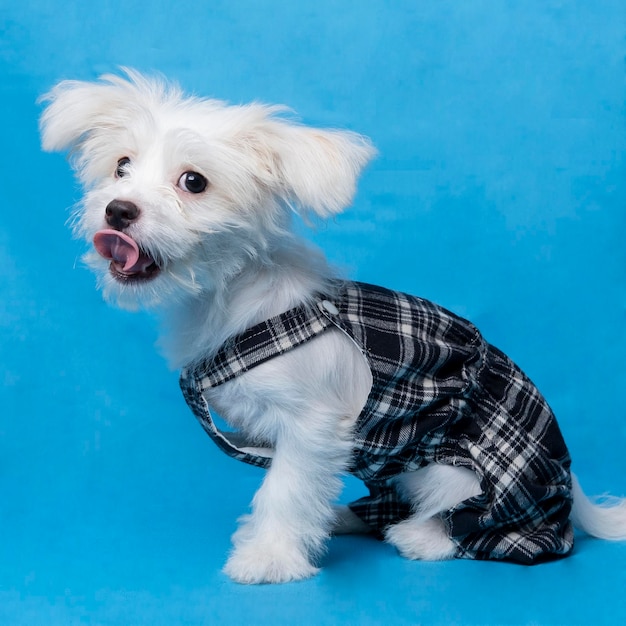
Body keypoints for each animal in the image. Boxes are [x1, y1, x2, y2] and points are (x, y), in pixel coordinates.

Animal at [40, 70, 624, 584]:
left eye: (194, 182)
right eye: (121, 166)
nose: (118, 210)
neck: (230, 298)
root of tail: (569, 482)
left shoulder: (311, 427)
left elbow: (286, 491)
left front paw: (269, 559)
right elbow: (298, 490)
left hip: (459, 471)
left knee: (485, 524)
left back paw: (422, 536)